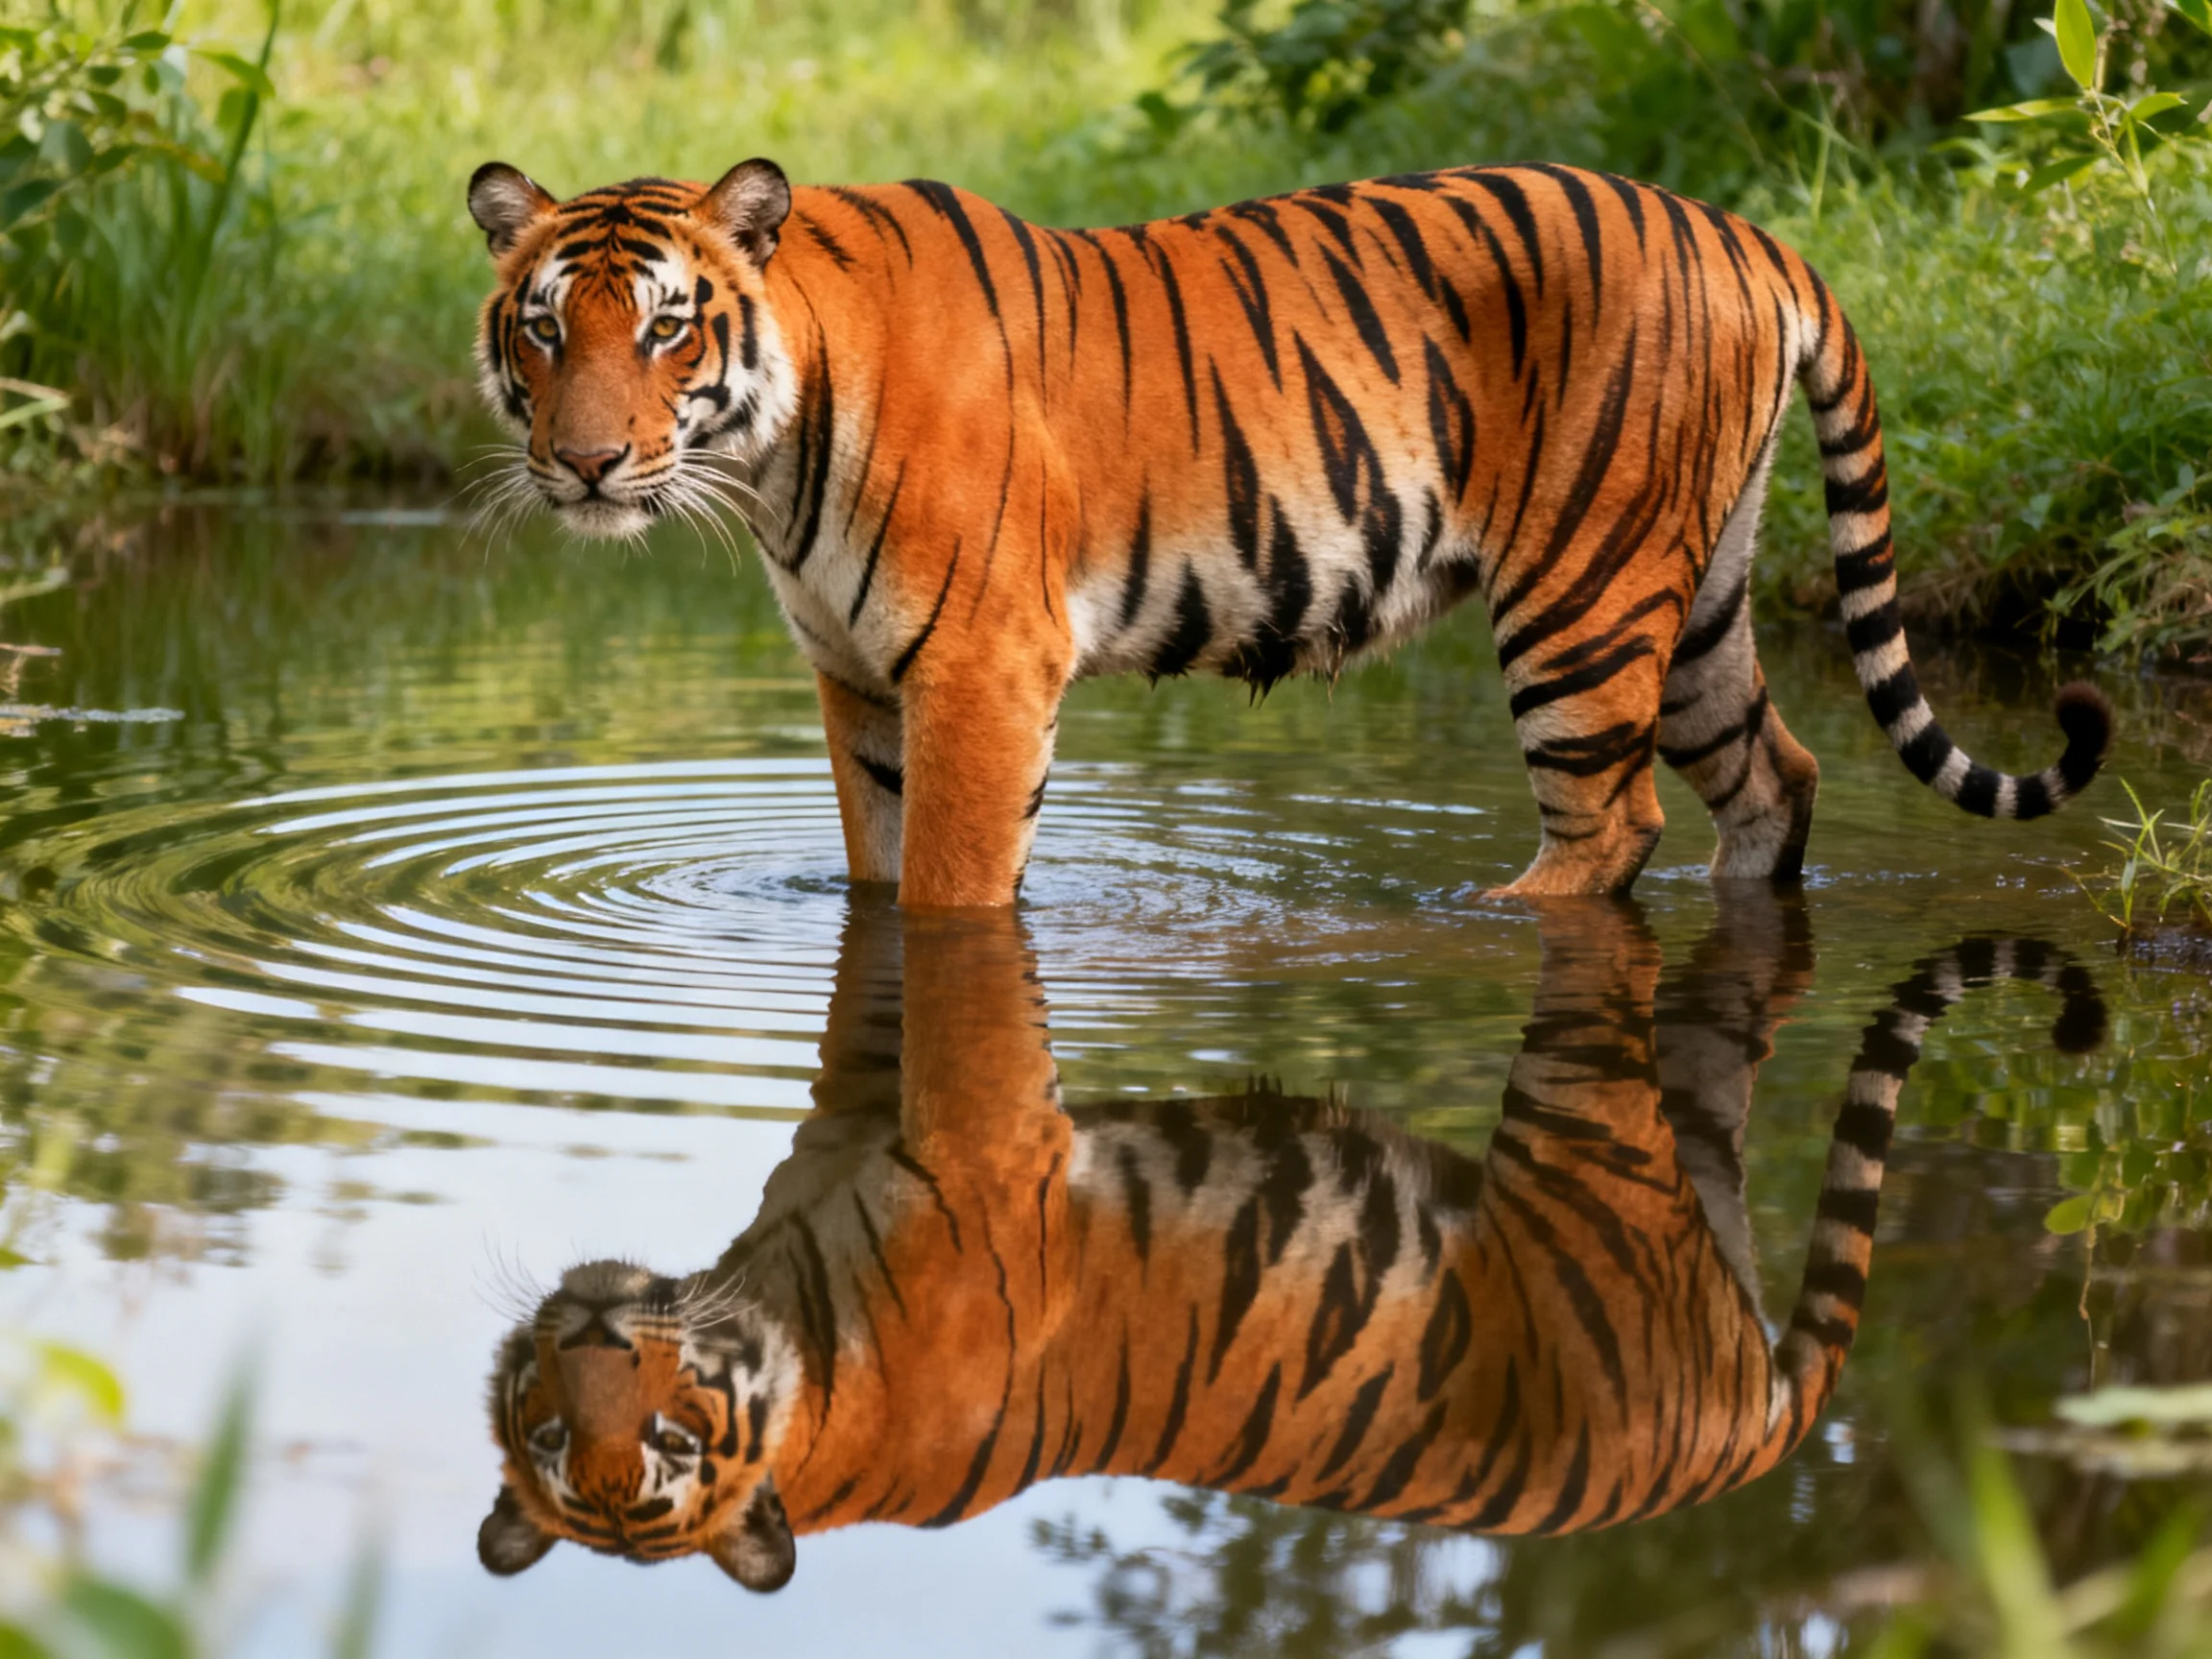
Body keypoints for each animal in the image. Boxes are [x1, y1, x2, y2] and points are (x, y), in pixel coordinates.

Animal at [465, 159, 2112, 906]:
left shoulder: (982, 670)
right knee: (1777, 772)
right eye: (546, 329)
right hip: (1698, 594)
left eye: (666, 329)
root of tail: (1749, 231)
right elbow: (875, 871)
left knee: (1614, 822)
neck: (772, 458)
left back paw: (1489, 917)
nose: (587, 464)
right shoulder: (860, 679)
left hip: (1582, 598)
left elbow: (947, 890)